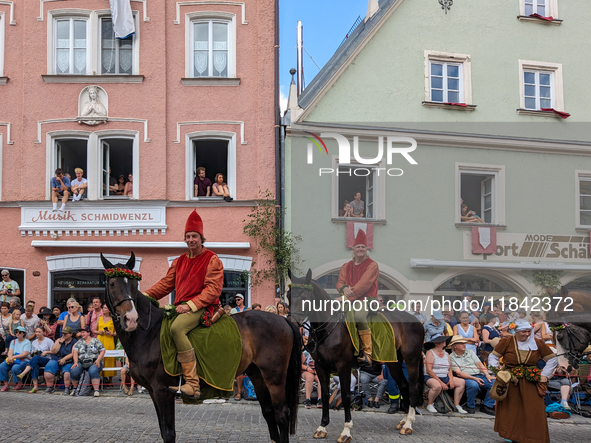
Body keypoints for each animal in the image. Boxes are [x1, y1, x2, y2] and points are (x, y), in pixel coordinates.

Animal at [100, 253, 300, 443]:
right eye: (112, 283)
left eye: (134, 284)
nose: (131, 319)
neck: (149, 333)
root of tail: (283, 319)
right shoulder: (152, 391)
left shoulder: (162, 391)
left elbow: (168, 433)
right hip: (257, 374)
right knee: (268, 412)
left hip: (275, 377)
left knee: (281, 414)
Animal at [288, 270, 424, 440]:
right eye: (288, 295)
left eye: (304, 296)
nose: (291, 323)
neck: (329, 328)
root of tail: (416, 320)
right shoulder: (320, 367)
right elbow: (325, 395)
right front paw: (322, 426)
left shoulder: (343, 366)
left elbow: (346, 395)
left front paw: (346, 430)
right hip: (394, 362)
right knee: (404, 386)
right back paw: (404, 420)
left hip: (412, 360)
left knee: (413, 388)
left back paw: (409, 423)